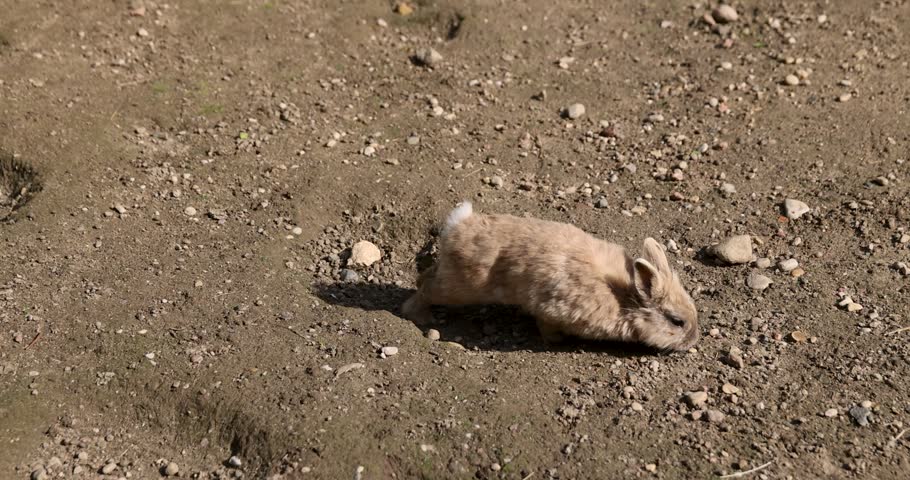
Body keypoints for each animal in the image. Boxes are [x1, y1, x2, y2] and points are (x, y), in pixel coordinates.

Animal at [401, 201, 699, 351]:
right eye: (677, 322)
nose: (693, 341)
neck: (625, 297)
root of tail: (458, 225)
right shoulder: (551, 311)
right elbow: (546, 327)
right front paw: (558, 341)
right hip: (459, 287)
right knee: (425, 287)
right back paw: (418, 315)